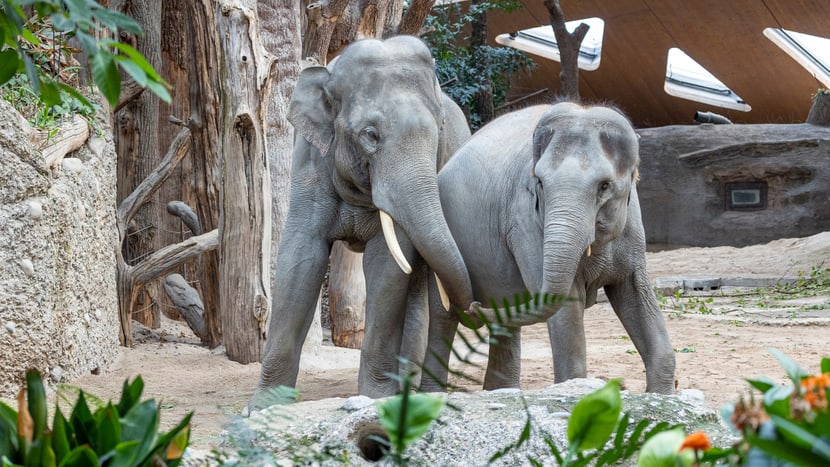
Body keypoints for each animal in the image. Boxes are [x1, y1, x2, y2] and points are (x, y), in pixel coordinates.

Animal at [250, 36, 474, 410]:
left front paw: (376, 398)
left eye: (438, 131)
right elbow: (301, 257)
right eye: (370, 135)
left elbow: (387, 265)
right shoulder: (310, 160)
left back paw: (407, 383)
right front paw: (264, 406)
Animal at [422, 101, 676, 394]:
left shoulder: (632, 230)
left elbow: (635, 295)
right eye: (540, 183)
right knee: (442, 317)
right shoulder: (526, 223)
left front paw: (662, 395)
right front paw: (576, 388)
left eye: (604, 186)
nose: (474, 307)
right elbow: (567, 308)